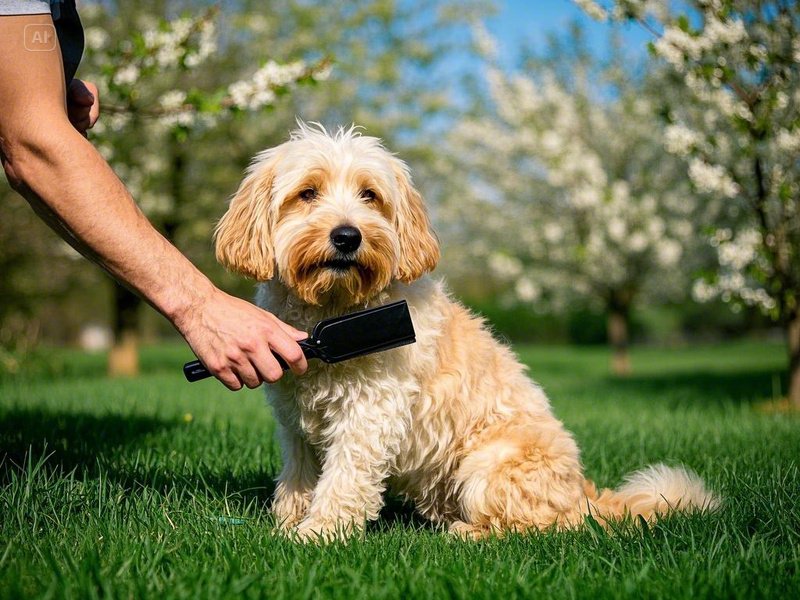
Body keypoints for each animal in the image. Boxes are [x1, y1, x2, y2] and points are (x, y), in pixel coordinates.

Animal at [212, 120, 720, 540]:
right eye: (308, 193)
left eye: (369, 195)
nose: (347, 236)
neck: (330, 317)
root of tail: (585, 495)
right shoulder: (295, 423)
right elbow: (298, 478)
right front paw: (288, 524)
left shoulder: (369, 415)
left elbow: (344, 479)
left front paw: (318, 534)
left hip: (487, 465)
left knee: (543, 528)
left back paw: (465, 533)